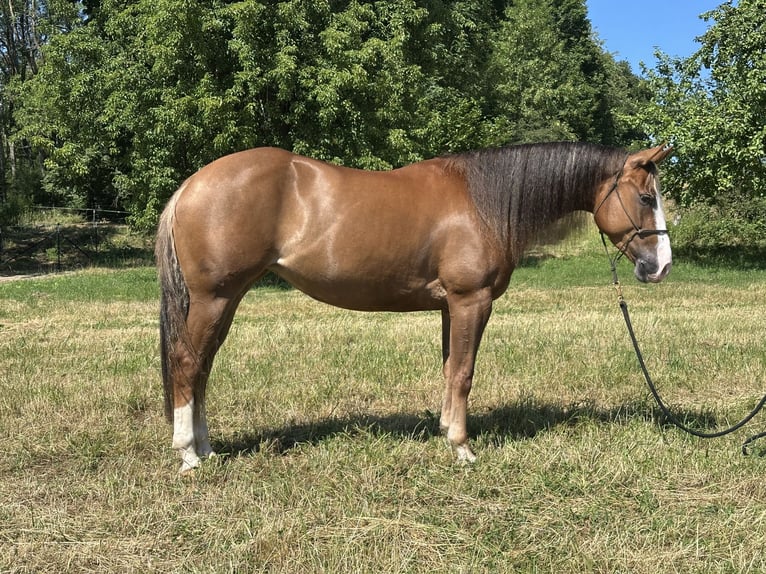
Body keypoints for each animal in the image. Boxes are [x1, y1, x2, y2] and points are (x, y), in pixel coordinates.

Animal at [156, 141, 673, 474]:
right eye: (646, 197)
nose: (661, 266)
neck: (484, 203)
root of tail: (191, 185)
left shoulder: (450, 307)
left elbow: (448, 368)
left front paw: (445, 430)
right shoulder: (471, 301)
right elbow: (464, 372)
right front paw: (462, 448)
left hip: (225, 301)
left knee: (202, 368)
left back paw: (207, 448)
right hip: (215, 298)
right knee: (187, 363)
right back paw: (188, 454)